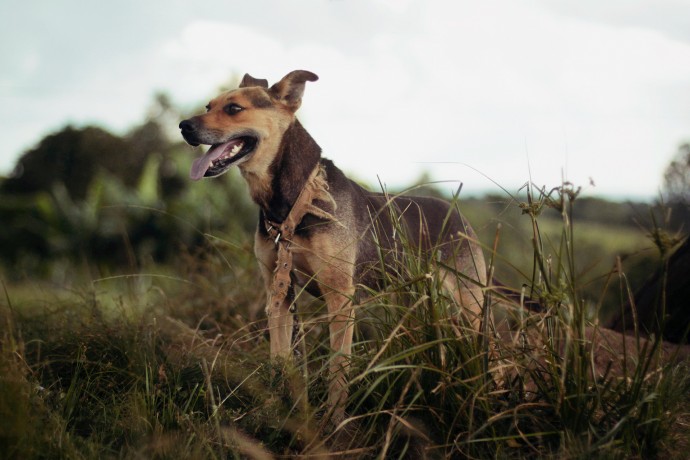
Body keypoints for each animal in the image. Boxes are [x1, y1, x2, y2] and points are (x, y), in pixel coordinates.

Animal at [180, 70, 486, 422]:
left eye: (233, 108)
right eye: (208, 106)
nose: (183, 126)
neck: (295, 200)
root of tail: (460, 217)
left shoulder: (340, 297)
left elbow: (338, 367)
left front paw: (334, 421)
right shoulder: (279, 292)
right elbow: (279, 358)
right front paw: (274, 409)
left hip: (469, 304)